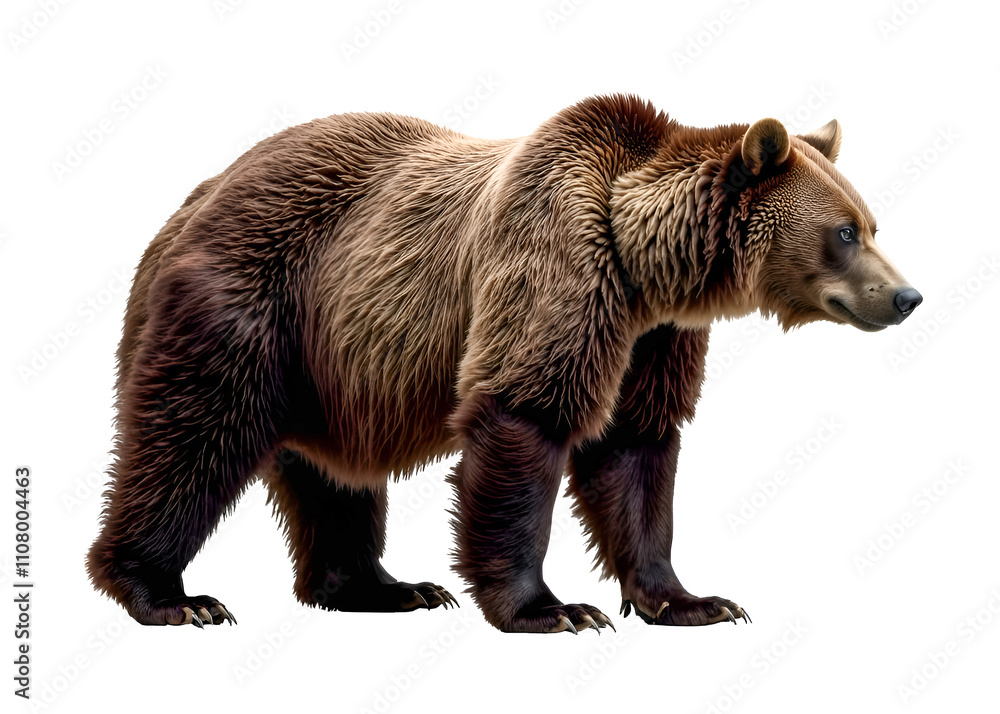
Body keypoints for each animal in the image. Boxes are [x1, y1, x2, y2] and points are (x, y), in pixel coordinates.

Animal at [87, 94, 922, 633]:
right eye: (845, 232)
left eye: (872, 222)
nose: (907, 295)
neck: (645, 265)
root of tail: (190, 200)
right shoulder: (557, 265)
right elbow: (525, 416)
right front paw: (554, 609)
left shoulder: (650, 340)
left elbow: (636, 452)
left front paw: (692, 601)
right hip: (248, 304)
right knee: (191, 439)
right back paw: (168, 594)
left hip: (333, 360)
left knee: (335, 475)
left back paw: (385, 587)